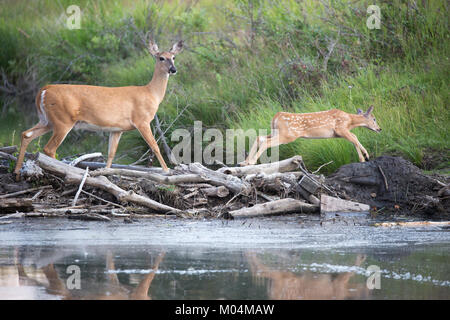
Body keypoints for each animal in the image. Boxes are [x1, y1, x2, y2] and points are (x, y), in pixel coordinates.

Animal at [14, 39, 183, 180]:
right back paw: (63, 170)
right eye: (161, 58)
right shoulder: (142, 120)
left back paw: (16, 172)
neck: (151, 93)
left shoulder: (117, 129)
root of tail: (44, 90)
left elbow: (111, 153)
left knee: (26, 134)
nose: (173, 69)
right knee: (49, 148)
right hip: (63, 120)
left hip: (46, 120)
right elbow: (155, 146)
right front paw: (167, 170)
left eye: (174, 57)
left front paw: (106, 172)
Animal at [241, 107, 382, 166]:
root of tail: (276, 116)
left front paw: (363, 157)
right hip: (288, 135)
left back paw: (245, 162)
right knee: (266, 142)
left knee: (260, 137)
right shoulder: (341, 128)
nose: (379, 129)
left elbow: (354, 139)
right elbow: (354, 138)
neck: (350, 120)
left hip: (275, 131)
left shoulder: (338, 133)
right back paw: (251, 162)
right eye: (374, 119)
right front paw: (365, 157)